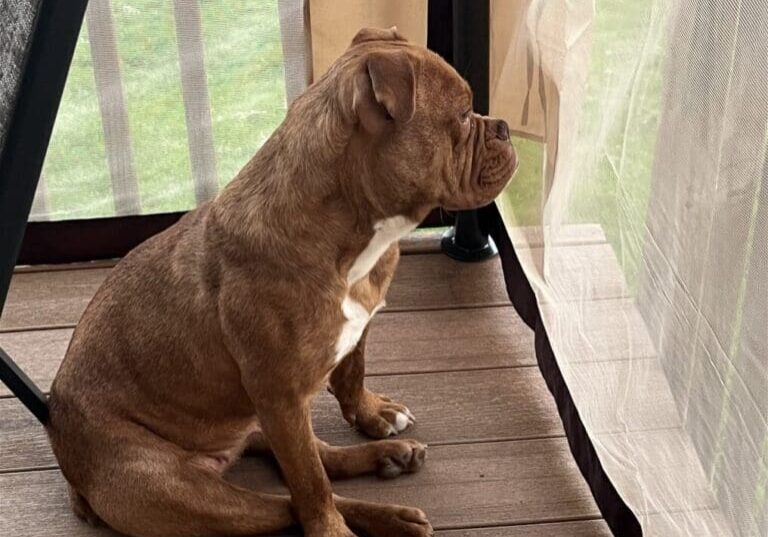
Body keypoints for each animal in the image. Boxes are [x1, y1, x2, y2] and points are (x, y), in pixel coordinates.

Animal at [46, 26, 516, 536]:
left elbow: (352, 374)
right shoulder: (282, 398)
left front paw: (373, 414)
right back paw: (384, 513)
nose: (504, 127)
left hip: (252, 429)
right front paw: (332, 530)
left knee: (316, 461)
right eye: (463, 116)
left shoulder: (352, 335)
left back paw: (387, 457)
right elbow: (310, 486)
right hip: (184, 494)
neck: (351, 235)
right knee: (290, 499)